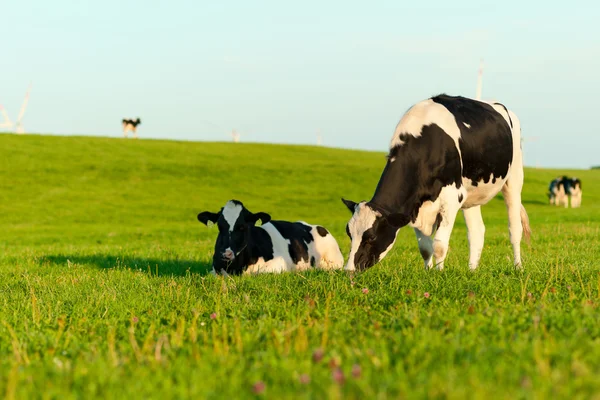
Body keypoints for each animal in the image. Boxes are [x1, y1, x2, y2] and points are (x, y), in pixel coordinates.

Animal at [198, 200, 344, 276]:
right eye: (220, 226)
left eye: (243, 227)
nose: (226, 254)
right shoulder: (214, 270)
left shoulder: (278, 265)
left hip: (333, 262)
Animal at [342, 93, 528, 272]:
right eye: (349, 233)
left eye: (371, 236)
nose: (349, 270)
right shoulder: (414, 203)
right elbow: (425, 247)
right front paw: (428, 271)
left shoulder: (452, 197)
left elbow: (438, 245)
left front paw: (439, 273)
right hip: (471, 194)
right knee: (476, 231)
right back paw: (472, 271)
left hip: (514, 179)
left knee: (514, 229)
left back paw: (518, 267)